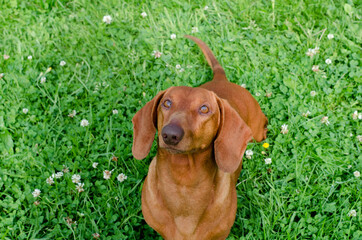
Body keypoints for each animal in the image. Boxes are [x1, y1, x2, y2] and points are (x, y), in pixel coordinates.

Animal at [132, 36, 268, 240]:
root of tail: (221, 78)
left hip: (258, 131)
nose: (170, 134)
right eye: (167, 103)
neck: (183, 184)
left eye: (204, 108)